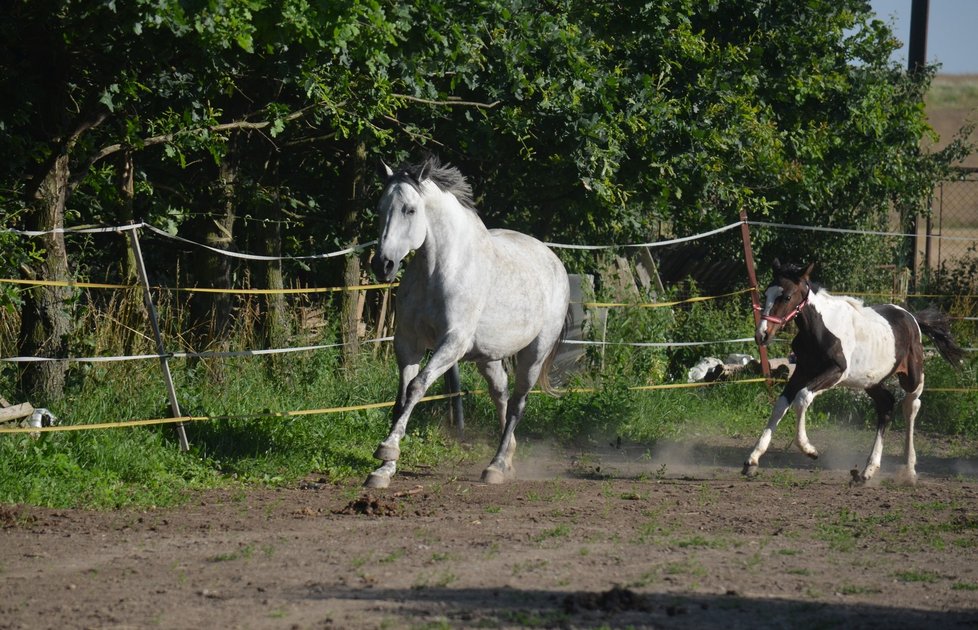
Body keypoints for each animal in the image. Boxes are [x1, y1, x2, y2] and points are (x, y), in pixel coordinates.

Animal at [740, 260, 960, 486]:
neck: (819, 329)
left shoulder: (836, 372)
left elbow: (802, 398)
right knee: (886, 406)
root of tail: (912, 317)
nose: (762, 335)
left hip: (912, 377)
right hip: (871, 381)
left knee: (911, 406)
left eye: (786, 297)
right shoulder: (802, 371)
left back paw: (909, 471)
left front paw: (809, 449)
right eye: (766, 294)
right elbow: (781, 405)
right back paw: (867, 471)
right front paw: (752, 461)